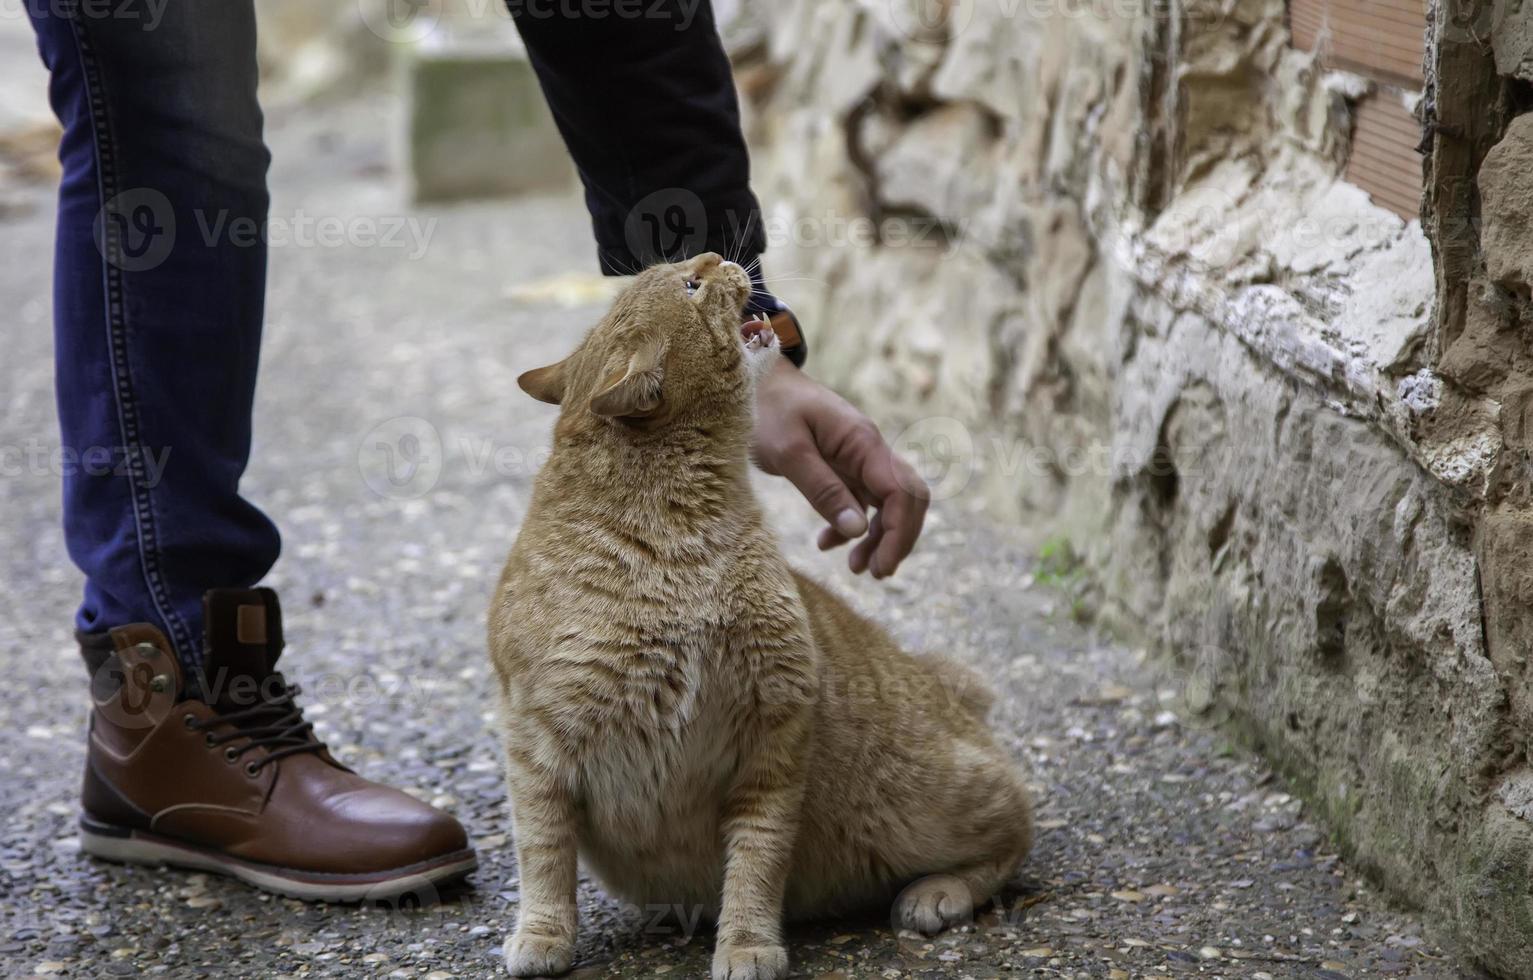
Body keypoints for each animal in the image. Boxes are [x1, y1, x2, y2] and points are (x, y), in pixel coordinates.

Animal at [493, 254, 1030, 980]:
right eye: (690, 286)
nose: (718, 258)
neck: (674, 536)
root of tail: (941, 681)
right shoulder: (536, 747)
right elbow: (543, 856)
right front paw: (544, 933)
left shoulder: (773, 736)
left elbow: (757, 858)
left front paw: (747, 943)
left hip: (928, 801)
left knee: (1016, 827)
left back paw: (938, 891)